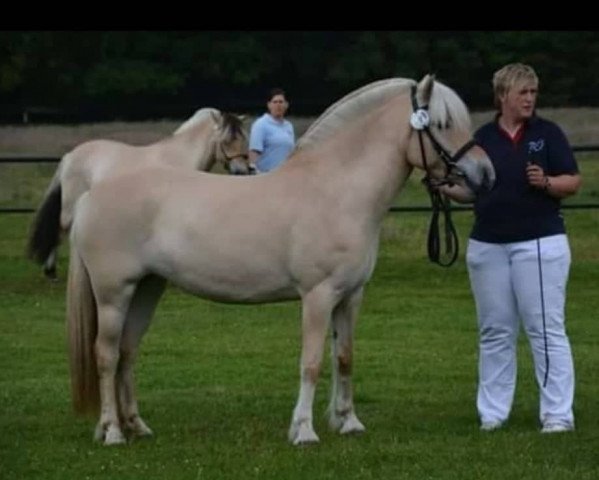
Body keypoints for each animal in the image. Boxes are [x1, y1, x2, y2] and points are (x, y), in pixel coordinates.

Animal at [27, 108, 252, 282]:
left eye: (244, 138)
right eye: (227, 140)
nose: (242, 171)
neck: (178, 158)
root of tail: (70, 156)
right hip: (70, 207)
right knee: (60, 230)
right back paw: (51, 272)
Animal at [62, 75, 496, 446]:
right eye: (441, 124)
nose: (486, 174)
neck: (336, 191)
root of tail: (91, 195)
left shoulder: (351, 296)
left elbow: (344, 358)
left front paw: (349, 422)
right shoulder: (318, 296)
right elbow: (312, 362)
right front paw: (303, 431)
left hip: (147, 288)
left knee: (127, 352)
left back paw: (136, 426)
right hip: (113, 294)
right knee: (106, 355)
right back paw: (112, 432)